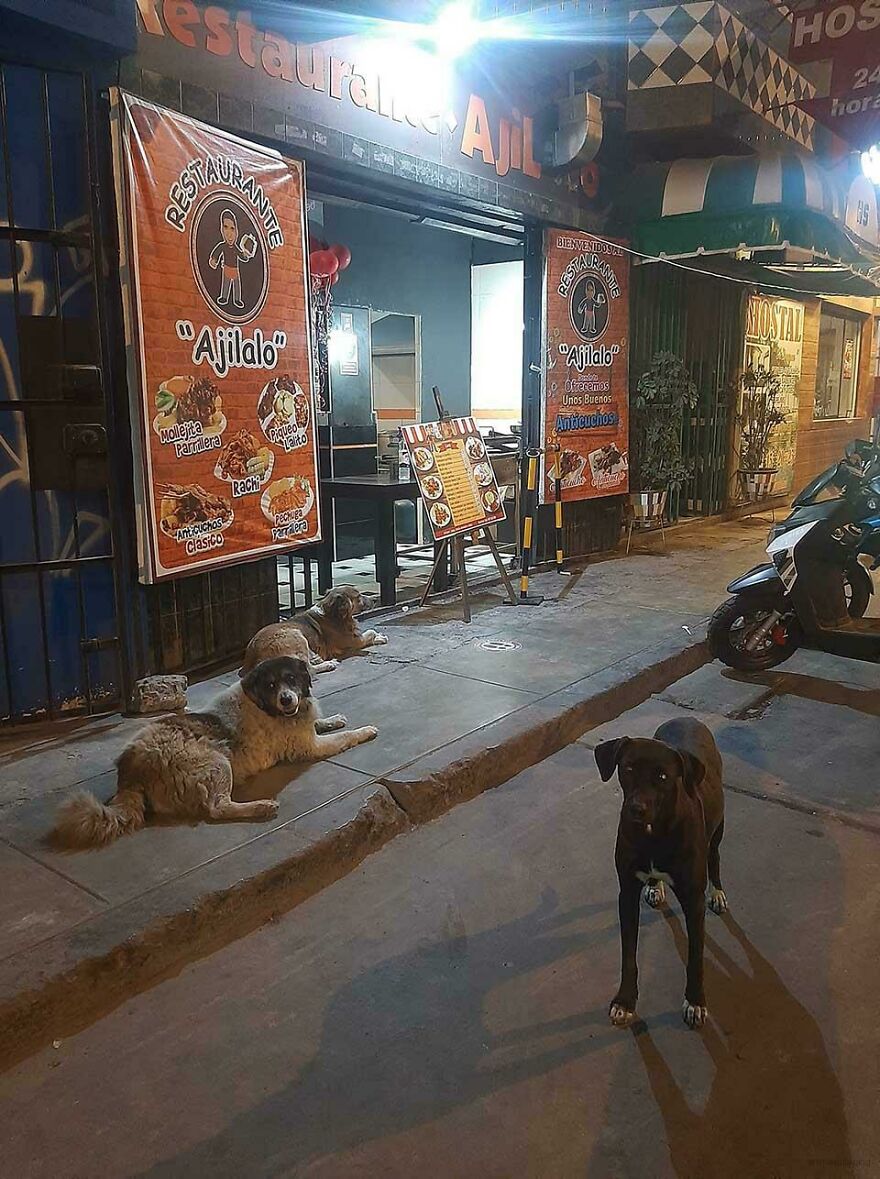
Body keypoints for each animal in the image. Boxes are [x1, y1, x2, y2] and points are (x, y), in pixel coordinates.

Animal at [49, 655, 375, 848]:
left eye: (292, 680)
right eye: (271, 685)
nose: (286, 699)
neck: (262, 704)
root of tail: (130, 770)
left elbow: (321, 721)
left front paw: (332, 718)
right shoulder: (309, 747)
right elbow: (345, 737)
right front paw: (365, 731)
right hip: (218, 763)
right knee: (218, 808)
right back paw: (261, 806)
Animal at [241, 584, 389, 679]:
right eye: (358, 597)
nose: (375, 599)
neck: (334, 614)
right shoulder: (354, 641)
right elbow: (370, 632)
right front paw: (379, 637)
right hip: (296, 635)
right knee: (308, 669)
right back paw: (329, 664)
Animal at [589, 712, 726, 1028]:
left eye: (663, 776)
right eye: (627, 769)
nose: (636, 809)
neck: (654, 832)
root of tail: (686, 717)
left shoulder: (693, 898)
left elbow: (695, 956)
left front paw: (695, 1002)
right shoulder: (626, 892)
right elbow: (628, 954)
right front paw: (625, 1000)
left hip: (718, 829)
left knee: (715, 857)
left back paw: (718, 892)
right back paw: (655, 887)